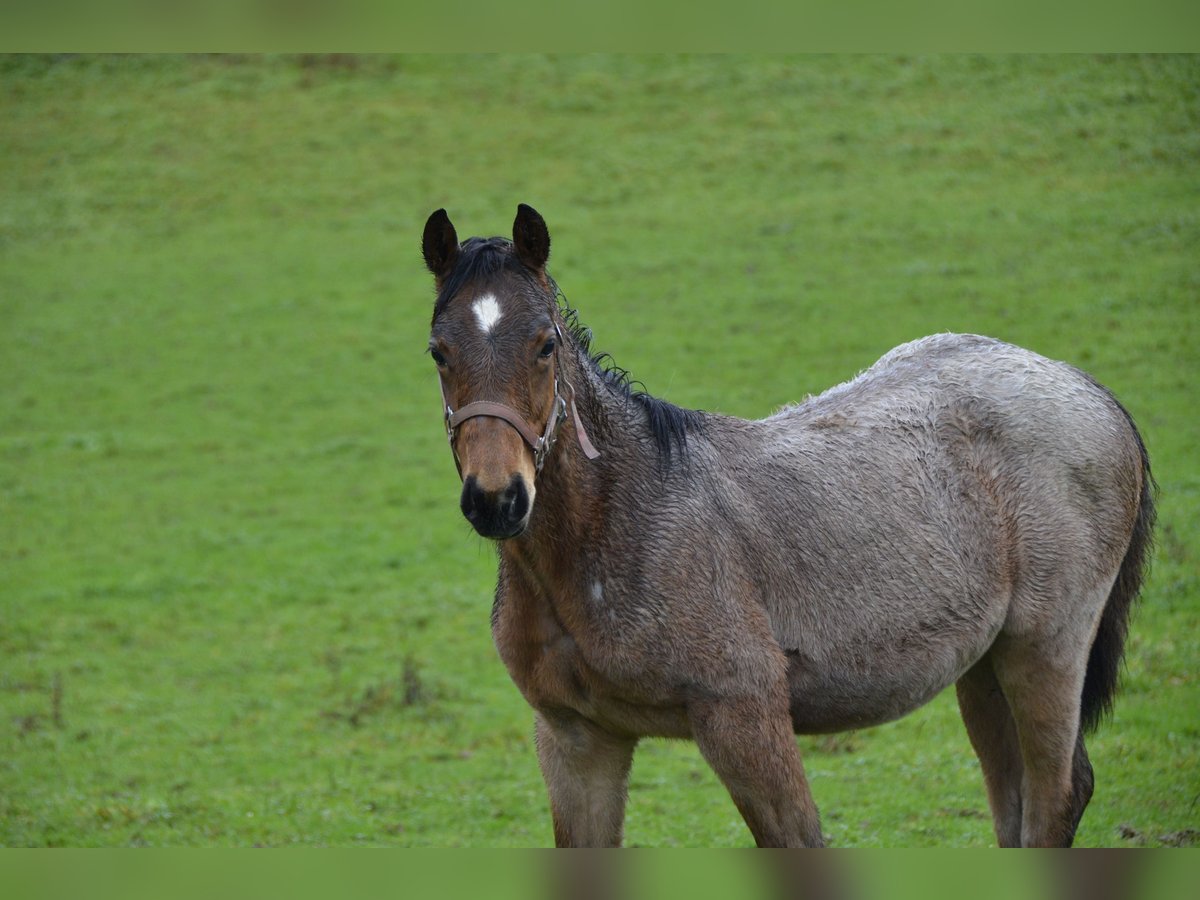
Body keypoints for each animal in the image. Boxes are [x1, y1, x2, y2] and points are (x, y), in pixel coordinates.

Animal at [420, 202, 1152, 844]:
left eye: (545, 345)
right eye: (438, 352)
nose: (497, 498)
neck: (617, 525)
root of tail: (1091, 390)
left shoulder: (745, 716)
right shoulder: (577, 737)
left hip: (1044, 648)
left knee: (1057, 797)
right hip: (983, 667)